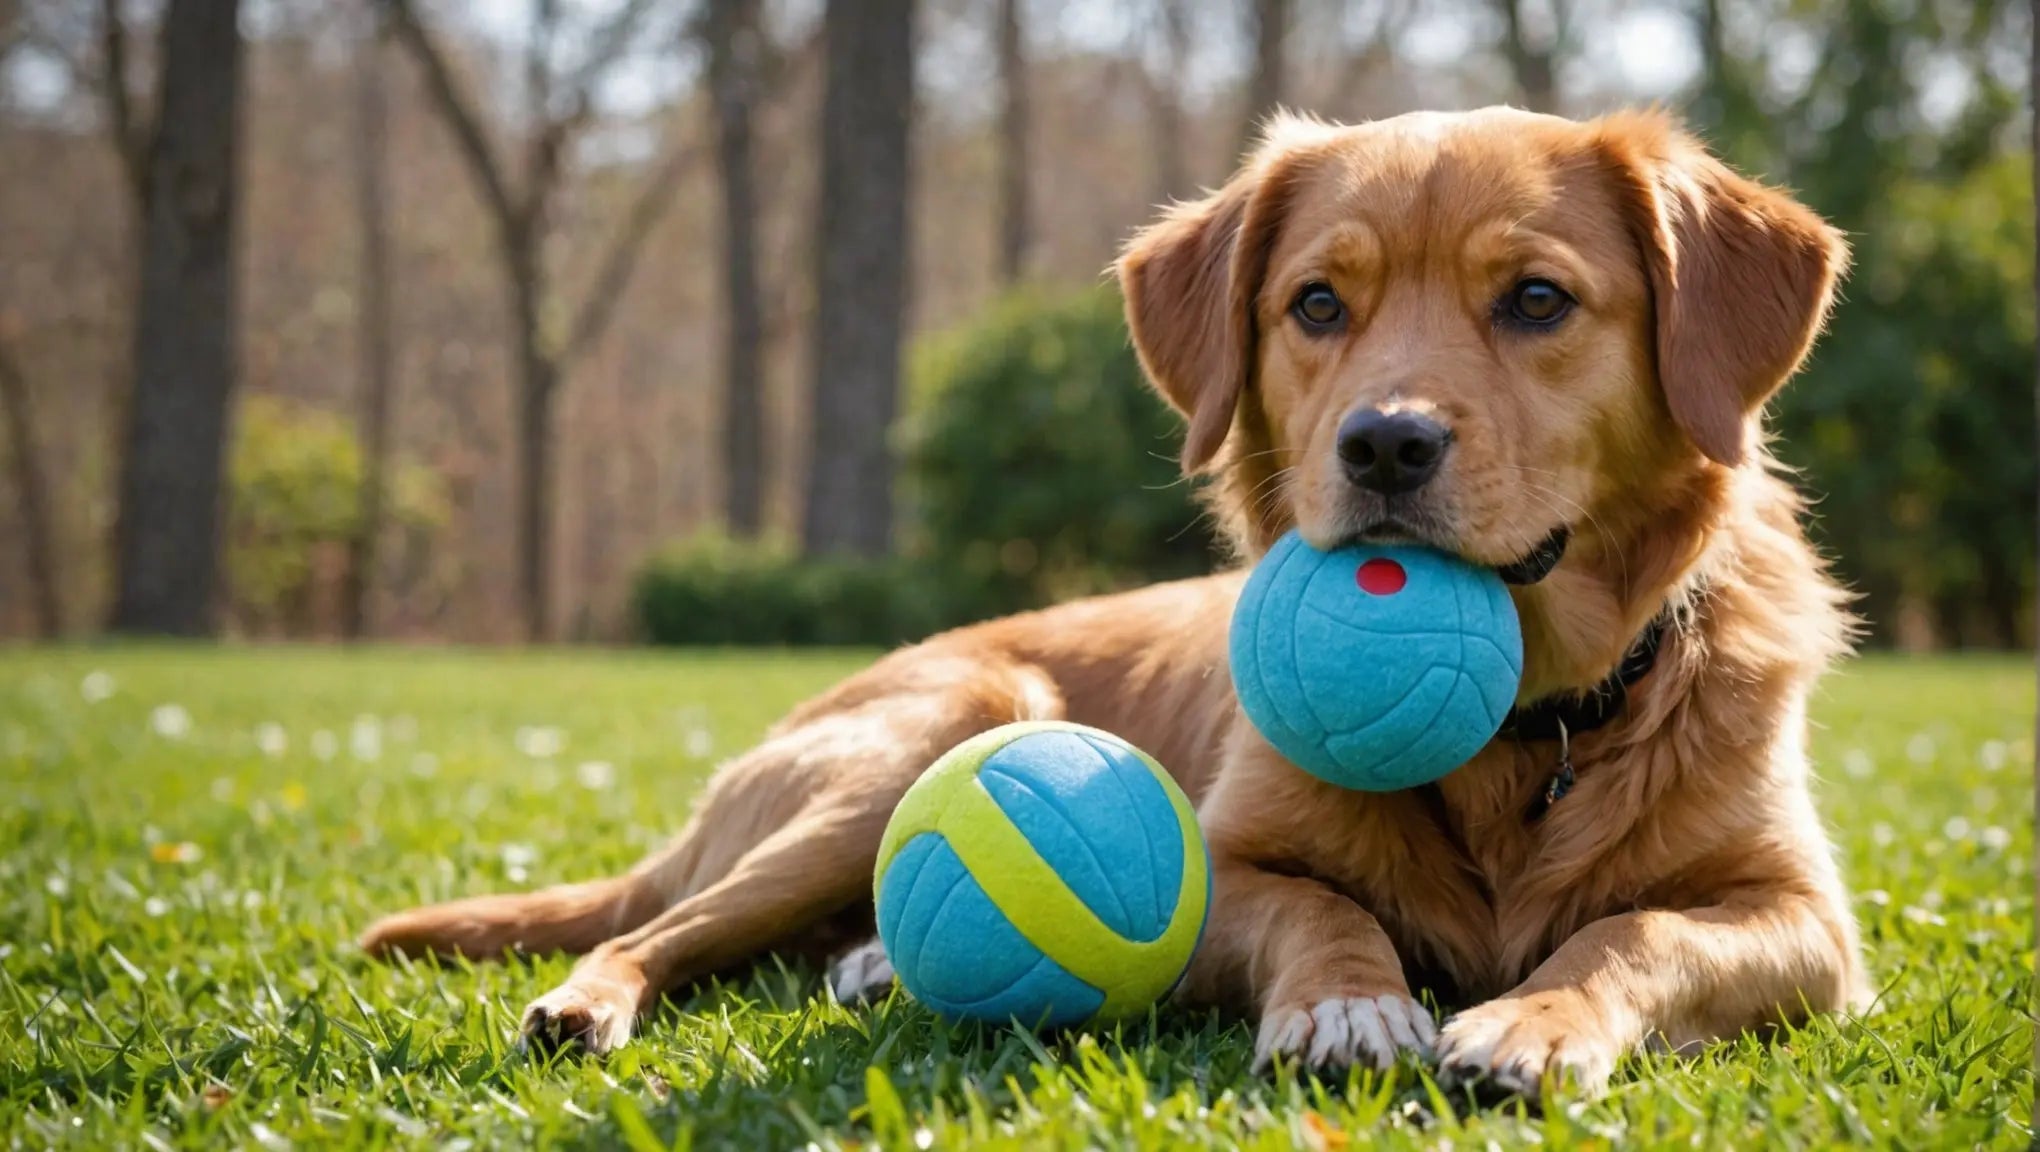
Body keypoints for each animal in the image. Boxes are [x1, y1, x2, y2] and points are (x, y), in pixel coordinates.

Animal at [363, 108, 1868, 1092]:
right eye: (1318, 305)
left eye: (1540, 299)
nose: (1383, 446)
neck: (1526, 732)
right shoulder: (1225, 869)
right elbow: (1324, 909)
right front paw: (1348, 1007)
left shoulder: (1809, 924)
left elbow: (1633, 926)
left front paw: (1536, 1018)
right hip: (934, 727)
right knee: (657, 931)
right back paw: (589, 1003)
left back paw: (871, 966)